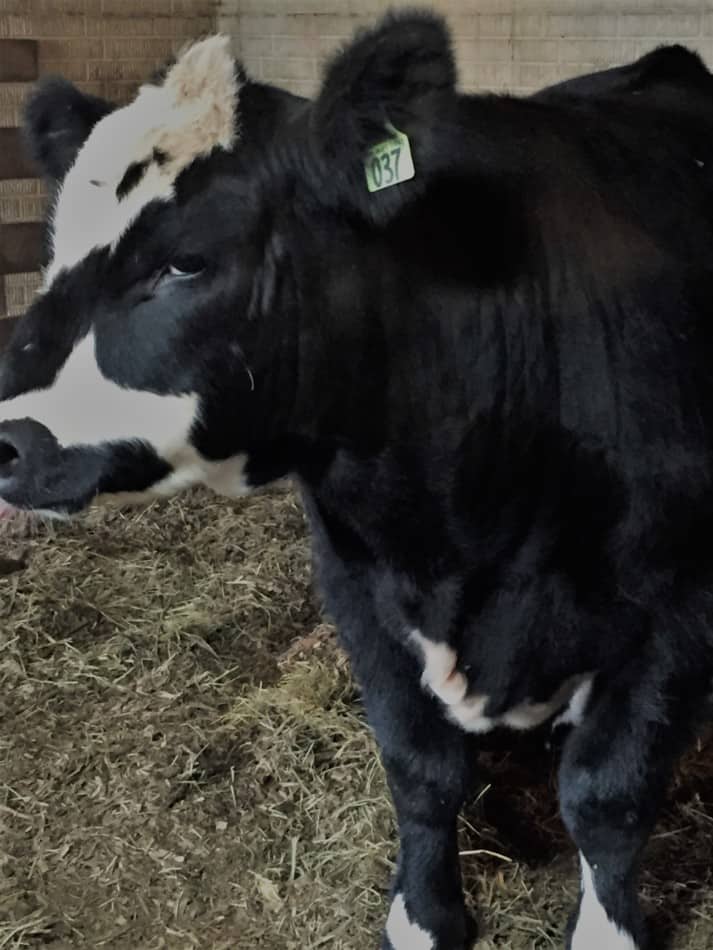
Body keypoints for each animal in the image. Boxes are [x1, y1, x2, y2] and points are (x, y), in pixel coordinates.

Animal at [1, 11, 712, 948]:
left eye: (185, 262)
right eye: (52, 252)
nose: (7, 439)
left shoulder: (679, 613)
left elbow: (609, 793)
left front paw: (607, 931)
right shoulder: (355, 583)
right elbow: (418, 767)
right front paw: (422, 916)